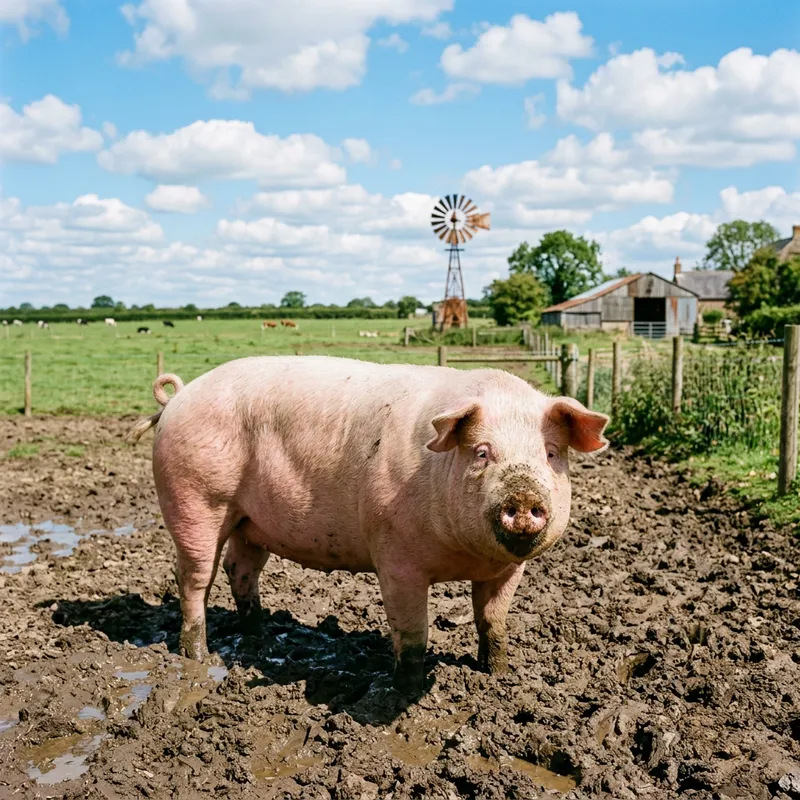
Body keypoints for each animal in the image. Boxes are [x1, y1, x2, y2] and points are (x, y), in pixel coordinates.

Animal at [126, 355, 608, 696]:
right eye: (482, 452)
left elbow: (493, 621)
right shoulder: (395, 557)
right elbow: (413, 633)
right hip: (195, 499)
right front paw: (406, 691)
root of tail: (178, 398)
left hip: (249, 521)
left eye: (550, 453)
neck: (465, 557)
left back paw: (259, 635)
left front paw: (498, 675)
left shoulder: (508, 569)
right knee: (194, 578)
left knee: (239, 569)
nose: (523, 497)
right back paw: (198, 655)